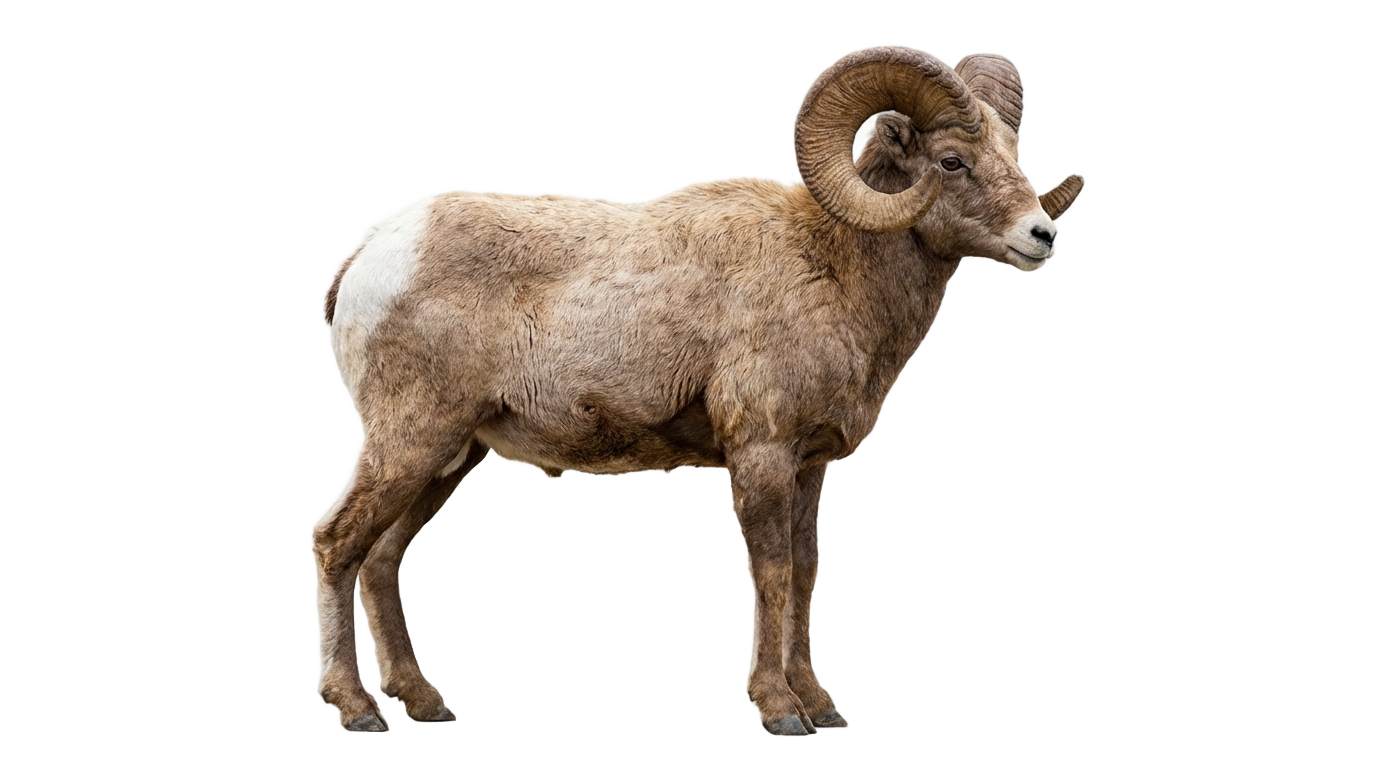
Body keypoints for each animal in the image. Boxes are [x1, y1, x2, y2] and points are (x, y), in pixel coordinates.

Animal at [313, 46, 1082, 736]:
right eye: (951, 161)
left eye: (1009, 148)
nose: (1042, 234)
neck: (832, 270)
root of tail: (373, 258)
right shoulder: (762, 456)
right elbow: (771, 575)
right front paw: (780, 713)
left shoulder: (810, 467)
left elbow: (806, 573)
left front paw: (823, 706)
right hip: (411, 444)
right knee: (338, 546)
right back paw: (357, 714)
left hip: (446, 460)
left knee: (382, 558)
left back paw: (425, 705)